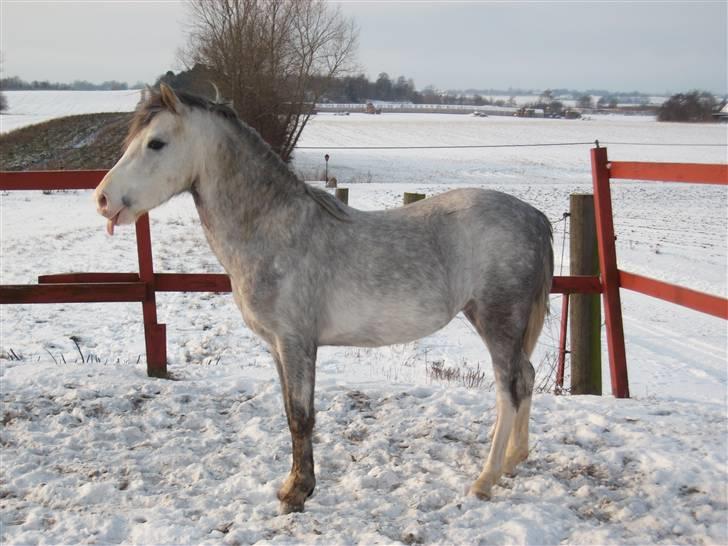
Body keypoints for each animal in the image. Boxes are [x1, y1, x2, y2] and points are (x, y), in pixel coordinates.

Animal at [93, 84, 554, 514]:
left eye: (156, 143)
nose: (102, 199)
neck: (275, 230)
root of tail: (533, 216)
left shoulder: (296, 343)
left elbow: (301, 417)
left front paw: (296, 494)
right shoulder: (278, 347)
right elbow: (289, 413)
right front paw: (293, 485)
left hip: (497, 321)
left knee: (509, 390)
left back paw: (485, 479)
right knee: (527, 378)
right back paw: (514, 459)